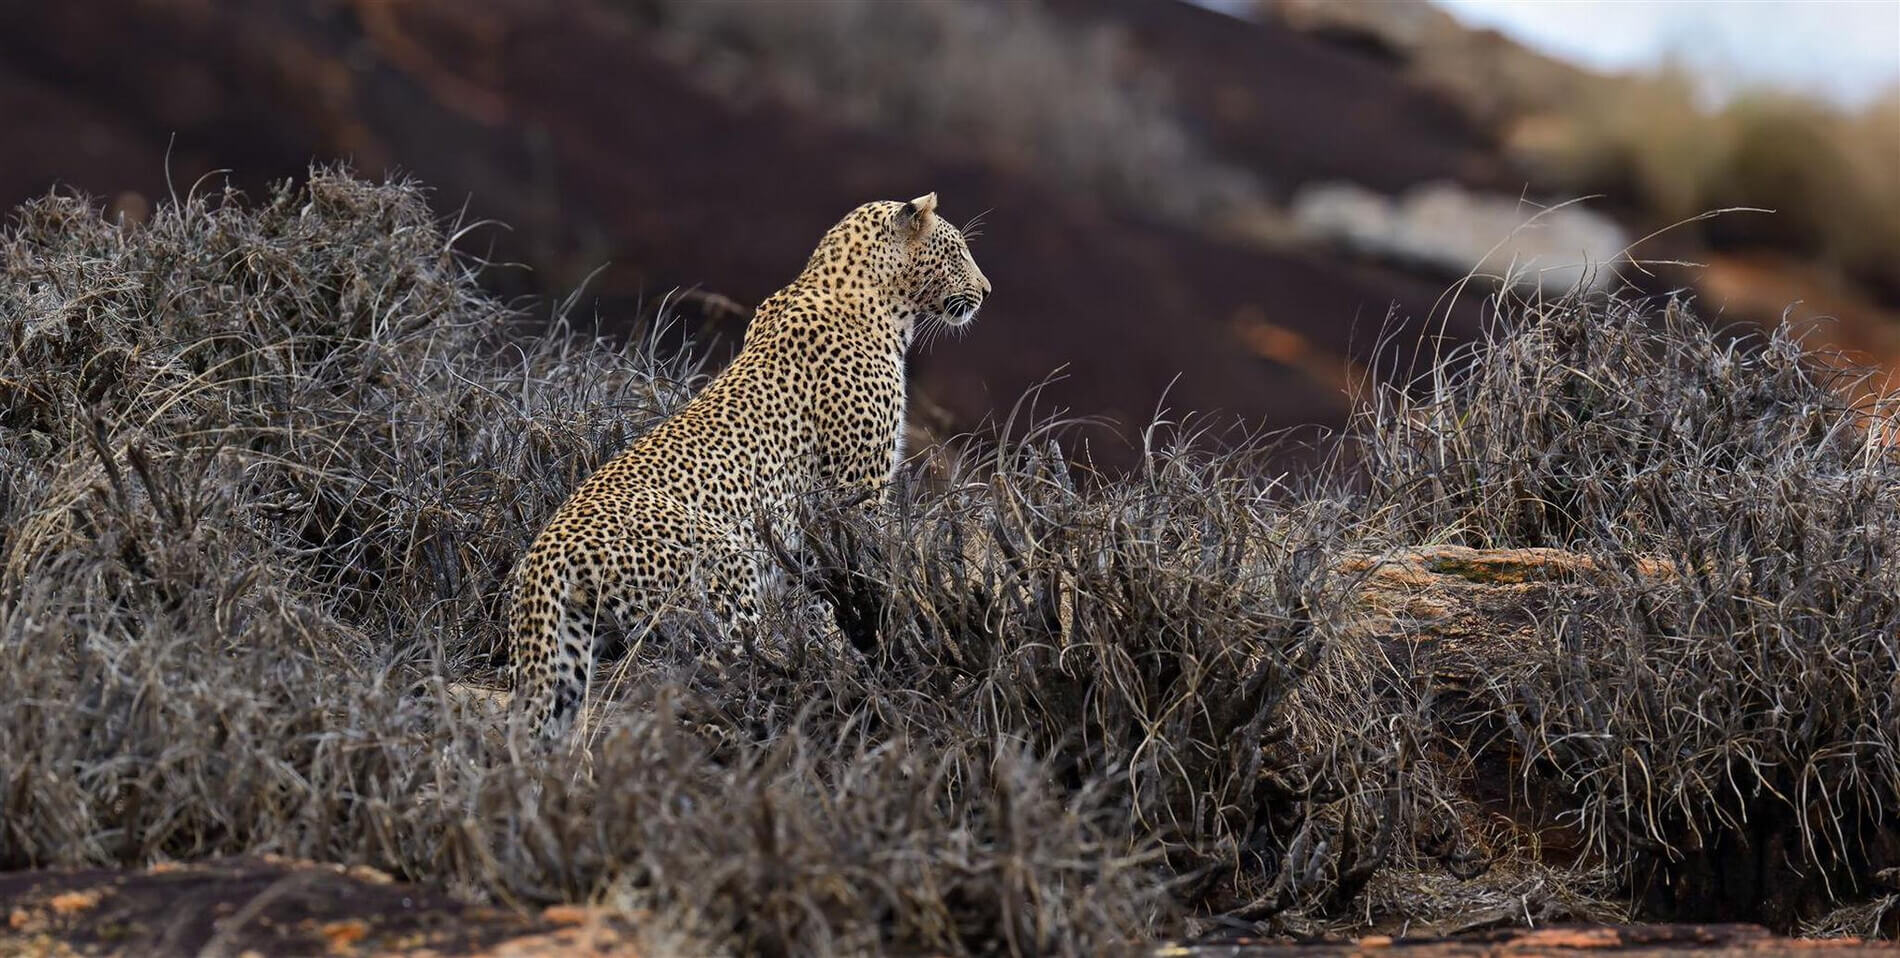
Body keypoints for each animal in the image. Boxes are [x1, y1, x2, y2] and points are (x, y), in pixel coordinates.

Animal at [509, 192, 990, 739]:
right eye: (957, 251)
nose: (986, 291)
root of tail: (547, 552)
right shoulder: (856, 490)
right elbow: (860, 572)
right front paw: (864, 641)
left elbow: (816, 588)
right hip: (724, 570)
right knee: (721, 663)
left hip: (564, 657)